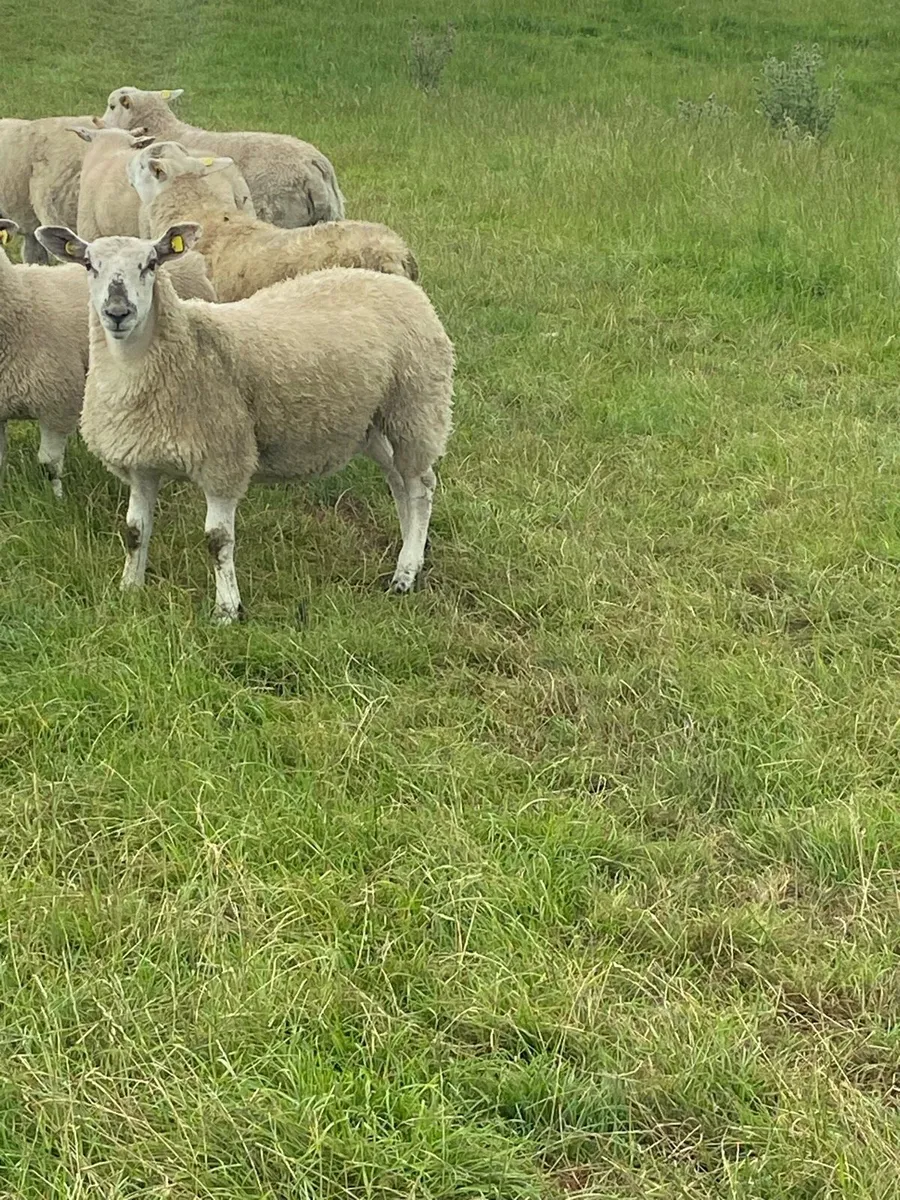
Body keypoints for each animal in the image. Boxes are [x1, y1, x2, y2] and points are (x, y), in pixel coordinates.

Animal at [0, 217, 217, 497]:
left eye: (150, 263)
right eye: (88, 264)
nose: (117, 313)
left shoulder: (57, 405)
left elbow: (49, 466)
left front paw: (56, 499)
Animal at [36, 223, 454, 621]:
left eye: (151, 264)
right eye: (89, 265)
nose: (117, 312)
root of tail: (400, 283)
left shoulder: (223, 460)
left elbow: (217, 541)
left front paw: (227, 610)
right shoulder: (140, 463)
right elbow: (134, 531)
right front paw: (129, 588)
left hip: (415, 406)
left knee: (421, 487)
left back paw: (406, 572)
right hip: (373, 422)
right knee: (399, 482)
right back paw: (412, 549)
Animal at [102, 87, 345, 227]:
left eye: (112, 105)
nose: (101, 123)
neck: (165, 129)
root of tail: (315, 163)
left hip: (283, 216)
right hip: (331, 216)